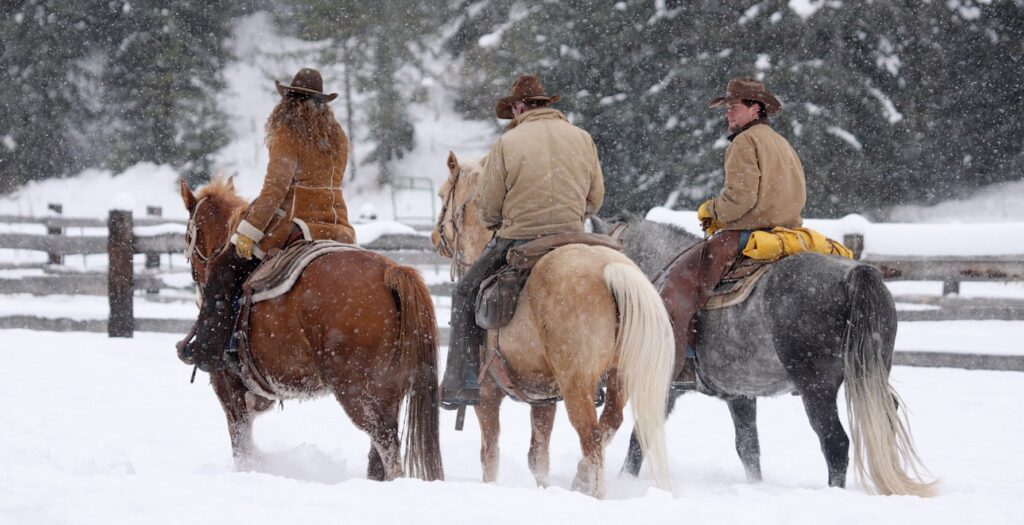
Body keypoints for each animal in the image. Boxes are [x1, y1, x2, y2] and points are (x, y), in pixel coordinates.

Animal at [180, 178, 444, 480]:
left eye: (188, 236)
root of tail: (391, 271)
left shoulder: (228, 389)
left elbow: (242, 449)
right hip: (389, 391)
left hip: (359, 393)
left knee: (386, 447)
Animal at [436, 152, 675, 495]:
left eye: (443, 196)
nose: (435, 236)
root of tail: (610, 269)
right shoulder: (544, 397)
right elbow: (538, 456)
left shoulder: (488, 394)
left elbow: (490, 454)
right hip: (618, 378)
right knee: (609, 425)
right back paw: (579, 480)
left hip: (577, 385)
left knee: (591, 438)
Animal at [593, 211, 937, 495]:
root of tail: (855, 275)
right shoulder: (740, 396)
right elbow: (749, 449)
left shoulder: (665, 388)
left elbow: (639, 441)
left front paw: (624, 481)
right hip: (870, 376)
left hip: (817, 389)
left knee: (835, 442)